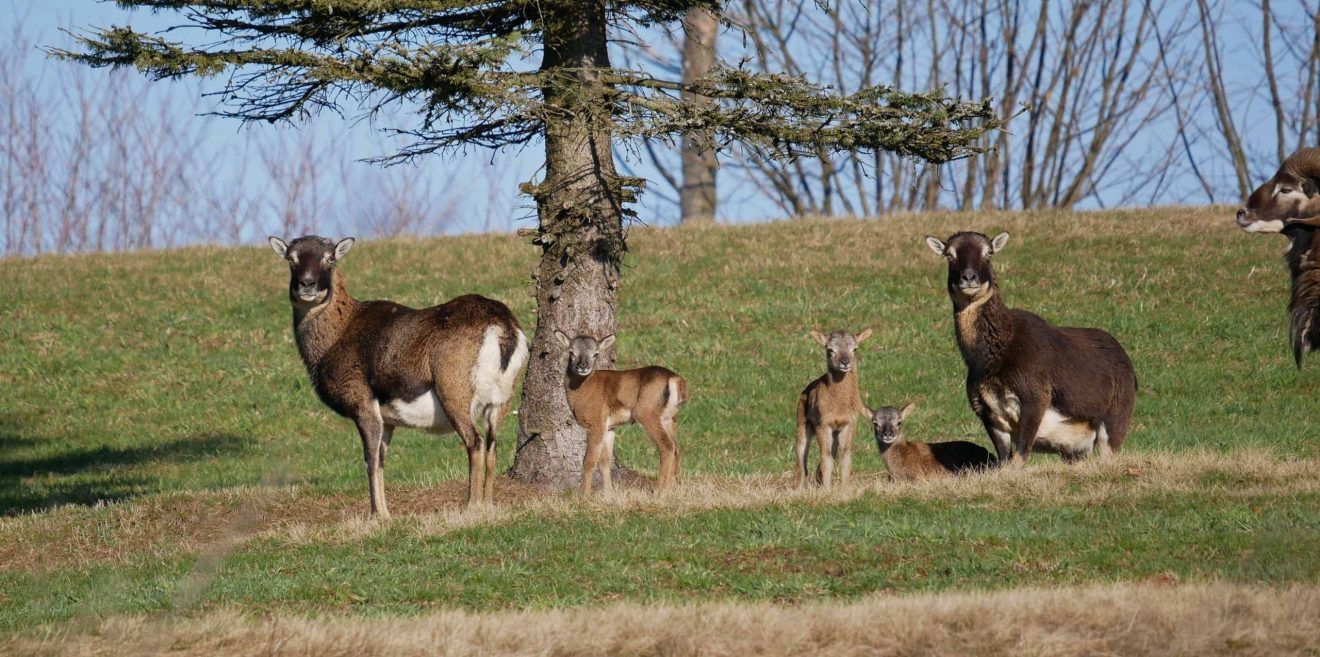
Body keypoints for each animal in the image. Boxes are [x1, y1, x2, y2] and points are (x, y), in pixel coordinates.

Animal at [268, 235, 528, 517]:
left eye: (331, 258)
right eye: (291, 259)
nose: (307, 284)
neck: (337, 336)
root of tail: (502, 328)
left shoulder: (363, 405)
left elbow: (370, 459)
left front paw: (377, 516)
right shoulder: (388, 420)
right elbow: (382, 460)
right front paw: (386, 513)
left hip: (455, 394)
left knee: (475, 442)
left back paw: (471, 507)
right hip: (501, 401)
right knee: (492, 444)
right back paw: (489, 505)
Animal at [553, 331, 687, 497]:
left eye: (596, 354)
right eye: (571, 352)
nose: (583, 367)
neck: (581, 391)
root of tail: (676, 380)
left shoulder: (596, 422)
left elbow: (589, 461)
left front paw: (584, 496)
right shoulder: (610, 427)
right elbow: (604, 461)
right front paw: (608, 493)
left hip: (646, 412)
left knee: (667, 446)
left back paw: (660, 492)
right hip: (669, 417)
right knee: (677, 448)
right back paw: (672, 489)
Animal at [795, 329, 873, 488]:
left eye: (855, 348)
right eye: (830, 349)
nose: (845, 362)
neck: (839, 407)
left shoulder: (849, 423)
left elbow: (845, 456)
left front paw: (845, 488)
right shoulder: (823, 423)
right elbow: (826, 458)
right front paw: (826, 489)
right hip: (802, 424)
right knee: (801, 458)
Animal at [923, 231, 1137, 464]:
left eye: (989, 252)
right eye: (949, 255)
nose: (969, 277)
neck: (993, 359)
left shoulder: (1034, 402)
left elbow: (1019, 459)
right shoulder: (988, 415)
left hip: (1113, 425)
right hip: (1076, 448)